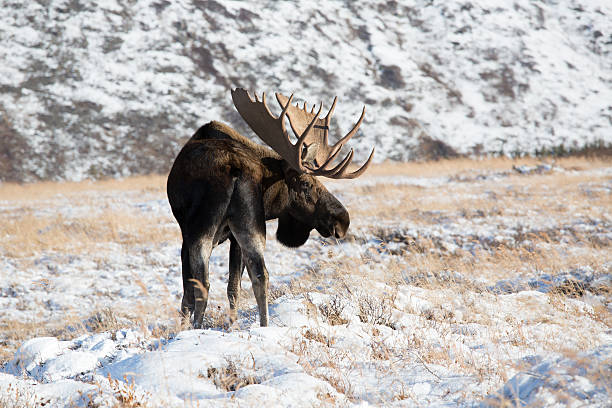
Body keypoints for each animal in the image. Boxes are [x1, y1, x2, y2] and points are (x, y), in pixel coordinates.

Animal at [169, 87, 378, 326]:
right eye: (306, 184)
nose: (343, 220)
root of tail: (235, 168)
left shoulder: (187, 235)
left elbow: (189, 295)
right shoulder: (233, 238)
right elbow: (233, 288)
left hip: (201, 228)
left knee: (203, 284)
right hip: (248, 226)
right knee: (261, 275)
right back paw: (264, 325)